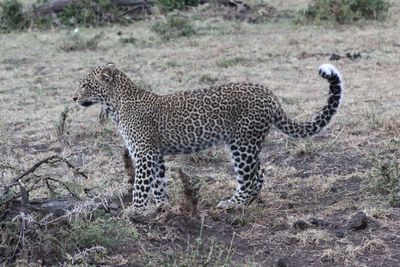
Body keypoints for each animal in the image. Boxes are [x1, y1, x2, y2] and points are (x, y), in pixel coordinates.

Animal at [74, 62, 344, 214]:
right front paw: (162, 206)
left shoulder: (144, 153)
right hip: (248, 143)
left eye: (85, 85)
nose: (74, 98)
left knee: (249, 178)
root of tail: (270, 94)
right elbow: (159, 183)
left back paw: (233, 203)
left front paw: (135, 210)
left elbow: (141, 184)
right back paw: (247, 203)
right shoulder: (155, 154)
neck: (115, 104)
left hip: (242, 143)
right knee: (259, 175)